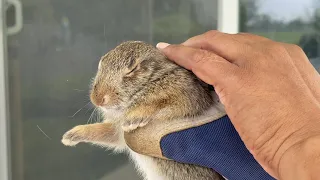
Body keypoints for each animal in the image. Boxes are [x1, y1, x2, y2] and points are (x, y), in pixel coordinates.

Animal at [61, 41, 224, 180]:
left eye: (133, 69)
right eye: (102, 64)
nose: (98, 99)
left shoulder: (186, 93)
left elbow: (160, 103)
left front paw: (133, 118)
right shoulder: (118, 133)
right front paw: (70, 136)